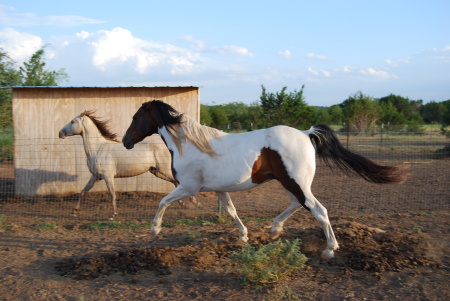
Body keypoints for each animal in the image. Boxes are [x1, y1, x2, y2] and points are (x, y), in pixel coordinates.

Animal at [59, 109, 199, 218]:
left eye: (72, 121)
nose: (60, 133)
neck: (98, 149)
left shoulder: (108, 176)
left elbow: (112, 194)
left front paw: (113, 214)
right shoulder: (96, 176)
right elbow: (83, 192)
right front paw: (74, 212)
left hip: (164, 170)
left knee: (179, 182)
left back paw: (194, 203)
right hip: (157, 172)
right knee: (175, 183)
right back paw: (183, 203)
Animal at [121, 101, 406, 258]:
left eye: (136, 117)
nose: (125, 141)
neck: (190, 145)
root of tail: (306, 133)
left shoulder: (188, 188)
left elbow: (162, 202)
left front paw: (155, 229)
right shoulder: (218, 189)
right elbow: (231, 210)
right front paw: (244, 236)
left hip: (296, 182)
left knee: (318, 210)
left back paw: (329, 249)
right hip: (290, 182)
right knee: (297, 204)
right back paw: (274, 229)